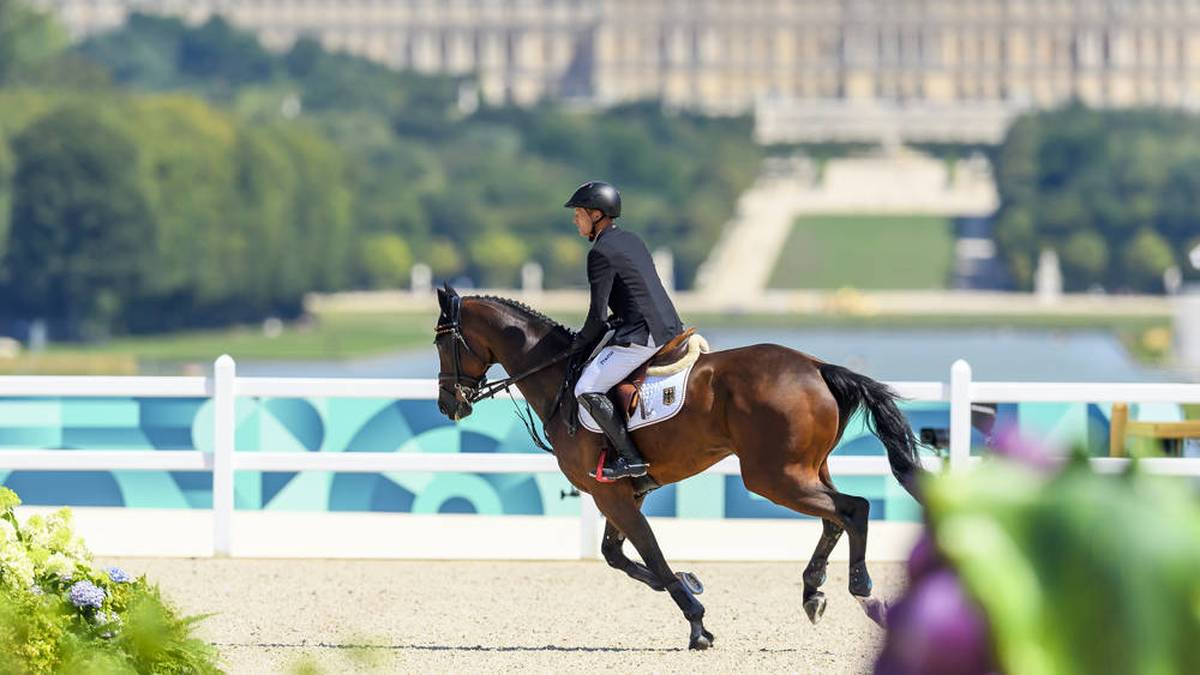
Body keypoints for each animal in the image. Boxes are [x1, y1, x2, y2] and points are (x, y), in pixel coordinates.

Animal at [436, 283, 921, 648]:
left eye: (442, 342)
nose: (448, 405)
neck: (560, 377)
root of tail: (817, 367)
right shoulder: (621, 492)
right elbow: (617, 555)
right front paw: (690, 581)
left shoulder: (610, 494)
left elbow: (648, 550)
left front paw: (696, 621)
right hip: (806, 470)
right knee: (834, 517)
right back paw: (813, 590)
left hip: (773, 477)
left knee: (853, 509)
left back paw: (863, 593)